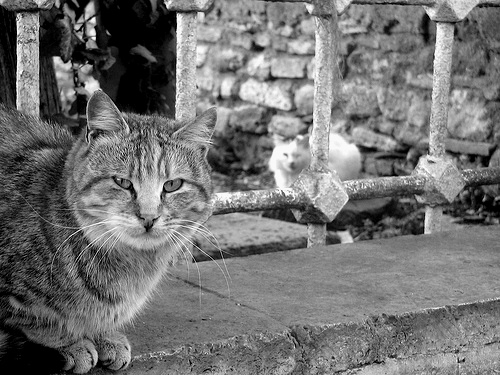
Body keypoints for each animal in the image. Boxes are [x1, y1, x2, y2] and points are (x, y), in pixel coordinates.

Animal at [0, 90, 217, 374]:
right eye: (122, 182)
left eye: (172, 185)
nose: (149, 217)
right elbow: (35, 320)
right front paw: (68, 343)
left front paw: (105, 336)